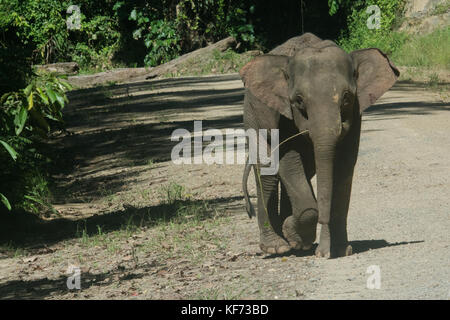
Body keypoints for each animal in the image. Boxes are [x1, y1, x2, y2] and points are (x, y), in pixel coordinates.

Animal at [241, 33, 400, 258]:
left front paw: (338, 250)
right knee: (268, 172)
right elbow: (288, 160)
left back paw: (297, 242)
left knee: (305, 170)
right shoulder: (284, 114)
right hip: (252, 113)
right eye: (298, 101)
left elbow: (343, 165)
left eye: (346, 98)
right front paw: (297, 234)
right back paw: (278, 246)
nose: (323, 253)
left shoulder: (356, 113)